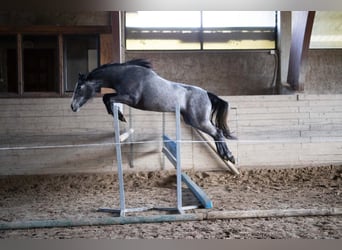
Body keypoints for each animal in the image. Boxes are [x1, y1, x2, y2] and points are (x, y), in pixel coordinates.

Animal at [69, 59, 235, 163]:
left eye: (79, 87)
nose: (73, 107)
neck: (124, 75)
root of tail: (207, 93)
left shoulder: (131, 98)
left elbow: (108, 98)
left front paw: (121, 116)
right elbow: (107, 98)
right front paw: (119, 115)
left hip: (198, 121)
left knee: (218, 132)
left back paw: (229, 156)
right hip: (195, 121)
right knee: (216, 133)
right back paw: (225, 156)